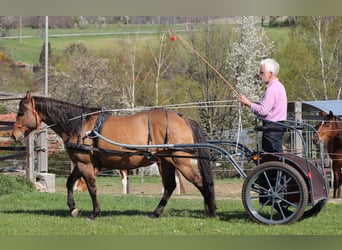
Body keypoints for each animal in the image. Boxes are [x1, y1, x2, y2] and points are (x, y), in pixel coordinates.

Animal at [13, 91, 216, 219]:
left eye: (21, 112)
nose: (14, 135)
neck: (79, 125)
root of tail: (183, 118)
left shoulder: (85, 163)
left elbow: (92, 188)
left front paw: (94, 213)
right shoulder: (82, 163)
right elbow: (70, 183)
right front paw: (73, 209)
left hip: (180, 161)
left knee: (200, 182)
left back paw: (211, 210)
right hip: (166, 161)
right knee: (170, 186)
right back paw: (156, 212)